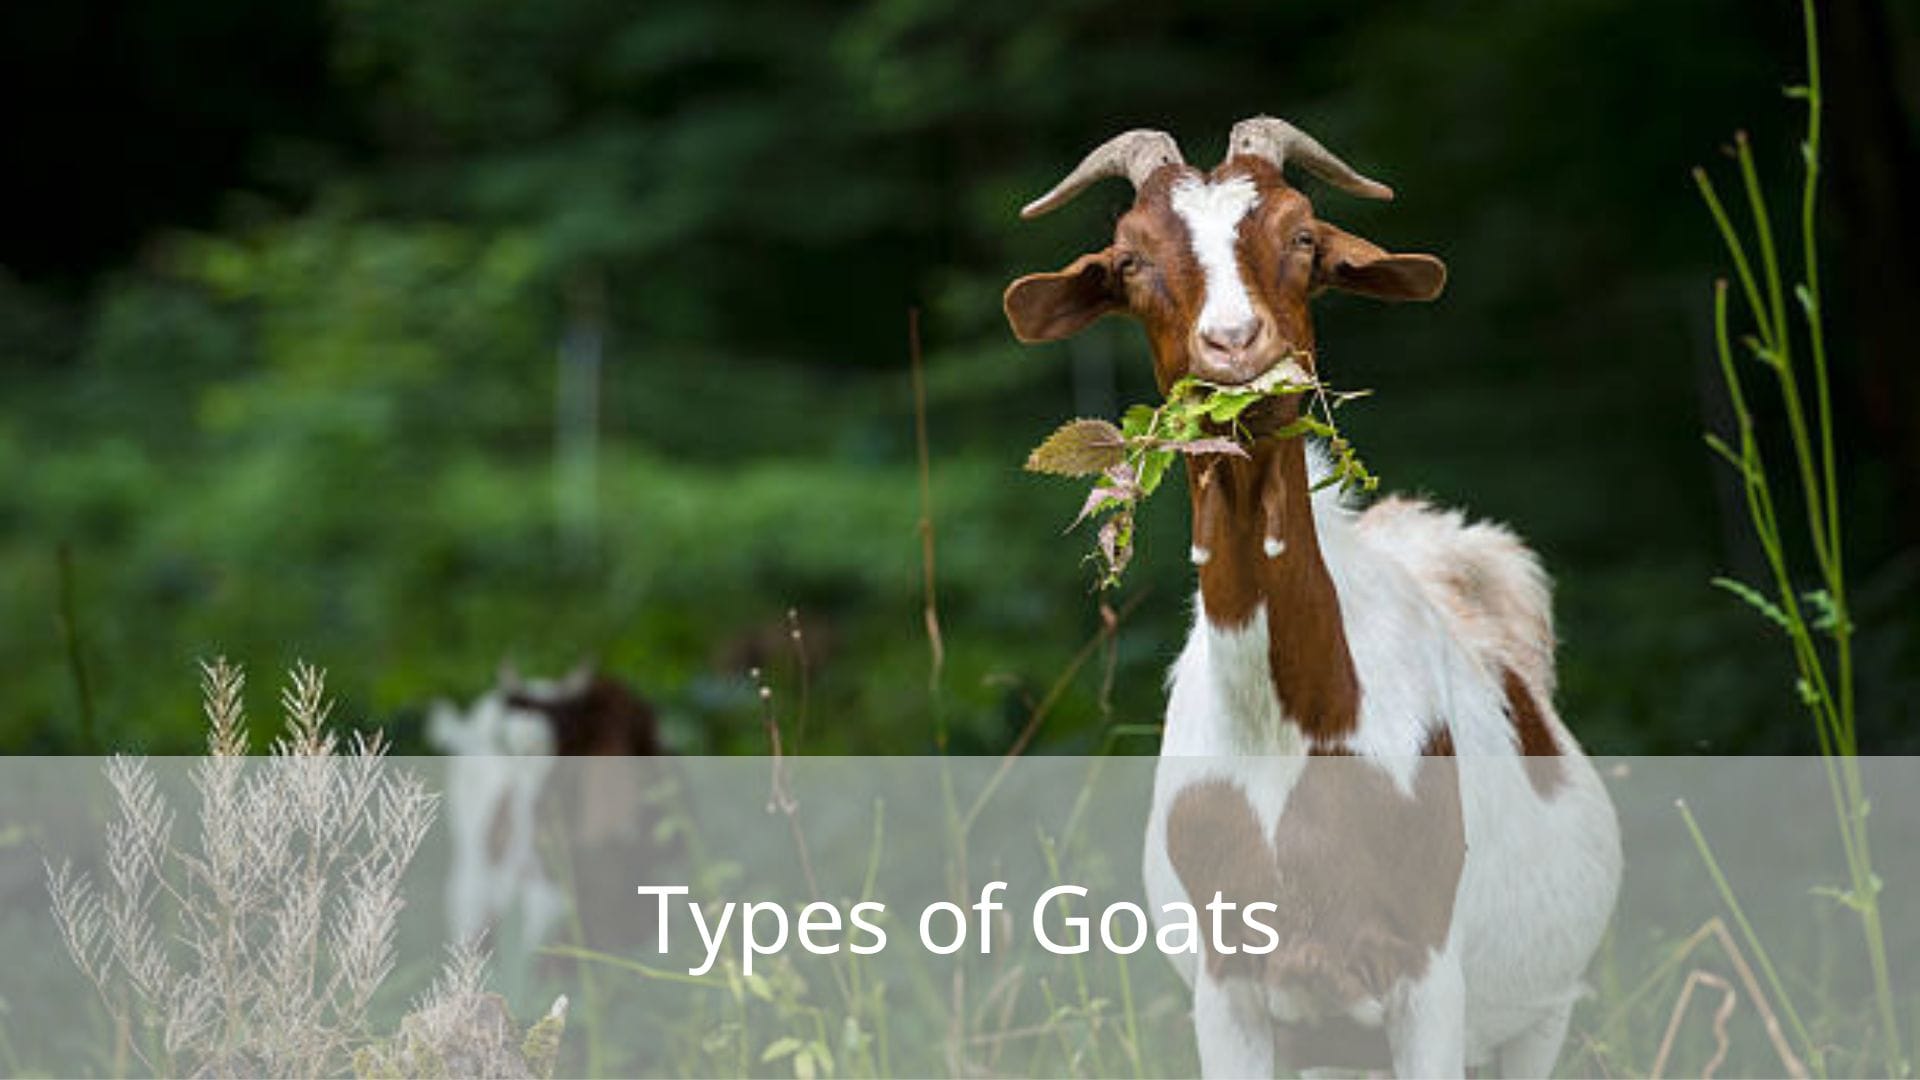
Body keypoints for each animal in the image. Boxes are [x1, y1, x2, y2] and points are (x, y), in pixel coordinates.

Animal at [1004, 117, 1621, 1078]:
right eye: (1131, 258)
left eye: (1302, 236)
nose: (1234, 343)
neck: (1293, 730)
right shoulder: (1230, 992)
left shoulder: (1428, 978)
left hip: (1537, 1017)